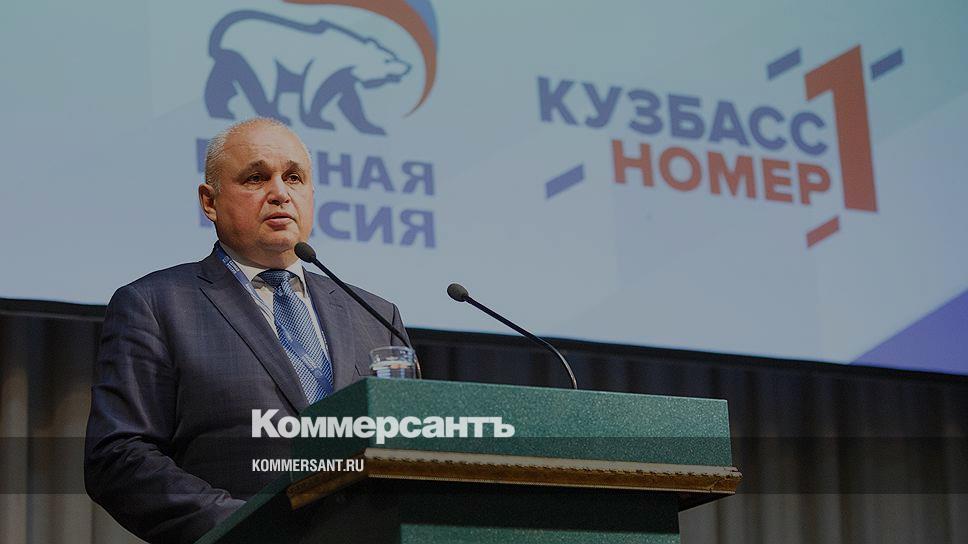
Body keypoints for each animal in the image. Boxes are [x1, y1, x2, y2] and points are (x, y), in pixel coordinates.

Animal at [204, 10, 411, 135]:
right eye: (388, 59)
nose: (407, 65)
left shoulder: (344, 80)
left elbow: (350, 102)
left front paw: (371, 126)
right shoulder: (324, 64)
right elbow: (315, 88)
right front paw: (316, 119)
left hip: (228, 62)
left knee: (221, 86)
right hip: (257, 58)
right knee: (264, 83)